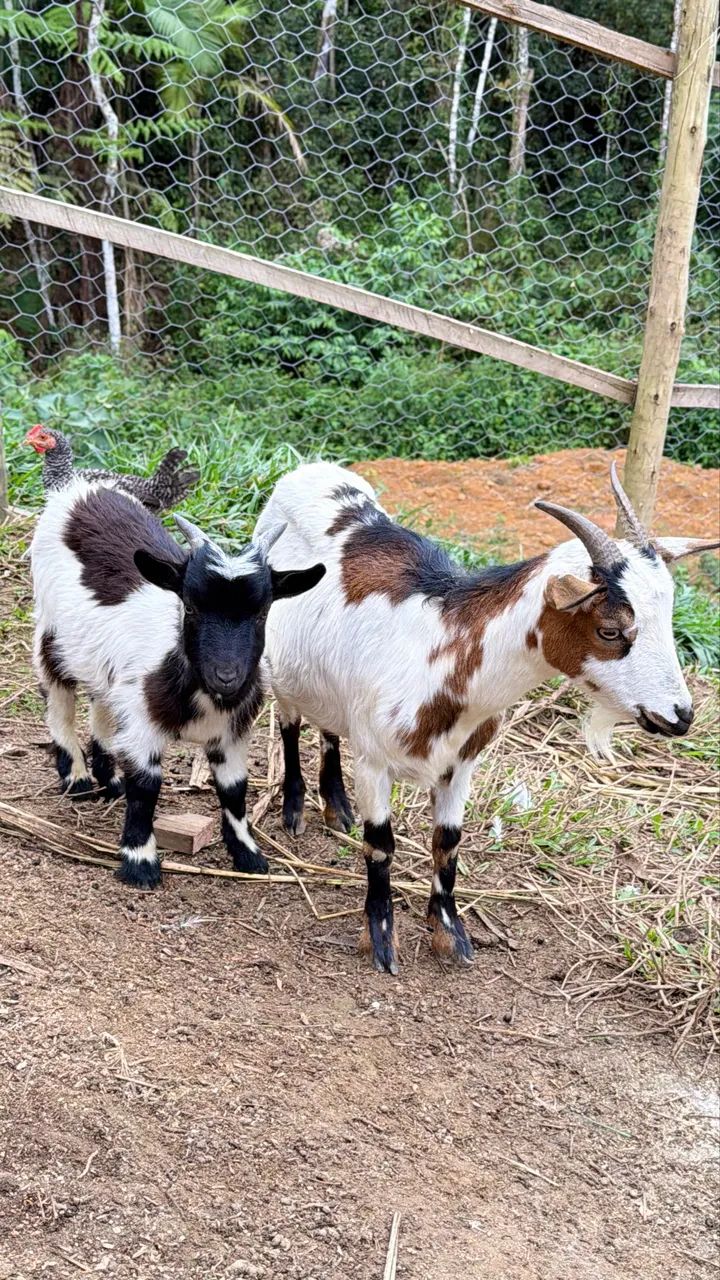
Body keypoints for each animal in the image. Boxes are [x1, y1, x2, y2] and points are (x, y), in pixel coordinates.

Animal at [30, 480, 324, 888]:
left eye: (263, 611)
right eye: (190, 606)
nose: (226, 676)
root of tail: (82, 487)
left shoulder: (230, 734)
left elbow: (234, 790)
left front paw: (248, 854)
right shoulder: (145, 727)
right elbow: (146, 787)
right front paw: (140, 863)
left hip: (107, 667)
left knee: (102, 704)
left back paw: (110, 778)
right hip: (50, 629)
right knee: (58, 697)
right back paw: (77, 778)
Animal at [255, 461, 718, 974]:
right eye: (610, 631)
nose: (681, 715)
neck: (441, 650)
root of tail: (308, 469)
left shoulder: (461, 765)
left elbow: (448, 843)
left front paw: (450, 935)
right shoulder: (374, 761)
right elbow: (380, 845)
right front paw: (380, 941)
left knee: (329, 729)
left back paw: (337, 807)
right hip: (278, 664)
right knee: (290, 723)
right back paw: (295, 808)